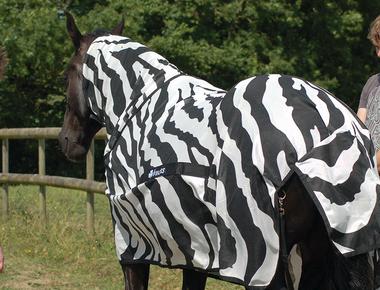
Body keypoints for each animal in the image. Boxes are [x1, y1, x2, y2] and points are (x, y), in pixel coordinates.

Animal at [59, 11, 378, 290]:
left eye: (68, 73)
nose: (66, 141)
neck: (137, 106)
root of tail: (324, 126)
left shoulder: (133, 248)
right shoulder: (196, 252)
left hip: (266, 264)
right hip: (321, 249)